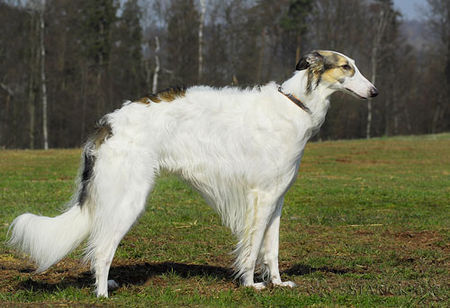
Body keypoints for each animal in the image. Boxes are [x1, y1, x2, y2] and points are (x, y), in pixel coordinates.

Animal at [8, 50, 378, 296]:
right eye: (347, 67)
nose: (374, 91)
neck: (295, 105)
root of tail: (107, 124)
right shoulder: (261, 197)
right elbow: (252, 249)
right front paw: (250, 285)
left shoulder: (277, 197)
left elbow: (270, 250)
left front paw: (276, 282)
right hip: (129, 199)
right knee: (101, 249)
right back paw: (102, 293)